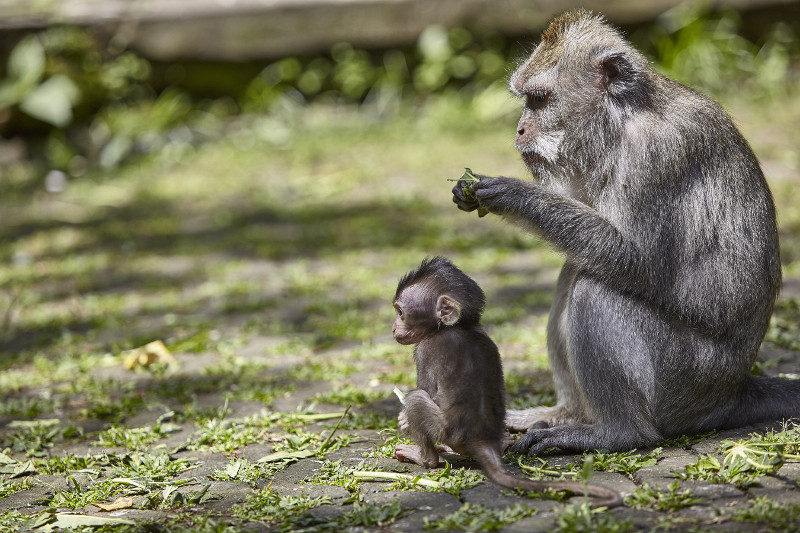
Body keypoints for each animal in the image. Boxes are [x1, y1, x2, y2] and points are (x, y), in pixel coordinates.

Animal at [391, 257, 623, 508]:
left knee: (417, 399)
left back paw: (424, 457)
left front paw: (404, 420)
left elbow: (424, 389)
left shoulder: (425, 349)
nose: (393, 328)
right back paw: (502, 442)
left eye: (401, 312)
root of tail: (481, 438)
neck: (460, 326)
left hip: (447, 431)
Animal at [451, 9, 797, 456]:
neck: (622, 118)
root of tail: (732, 392)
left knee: (593, 290)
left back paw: (616, 432)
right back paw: (568, 414)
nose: (520, 130)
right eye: (526, 101)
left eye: (539, 100)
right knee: (574, 271)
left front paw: (514, 195)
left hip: (684, 377)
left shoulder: (656, 154)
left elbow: (635, 260)